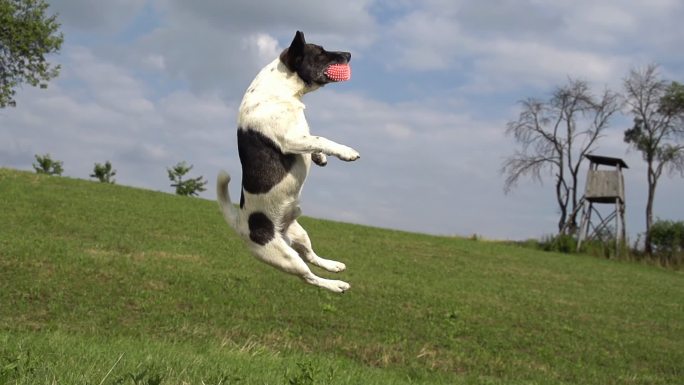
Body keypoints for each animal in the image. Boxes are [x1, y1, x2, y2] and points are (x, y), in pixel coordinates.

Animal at [218, 32, 358, 292]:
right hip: (284, 257)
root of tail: (240, 223)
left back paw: (333, 265)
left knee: (311, 256)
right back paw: (336, 285)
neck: (281, 90)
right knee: (308, 276)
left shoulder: (301, 136)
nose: (349, 54)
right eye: (321, 52)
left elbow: (314, 142)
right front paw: (346, 152)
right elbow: (320, 138)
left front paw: (320, 157)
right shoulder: (290, 140)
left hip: (299, 233)